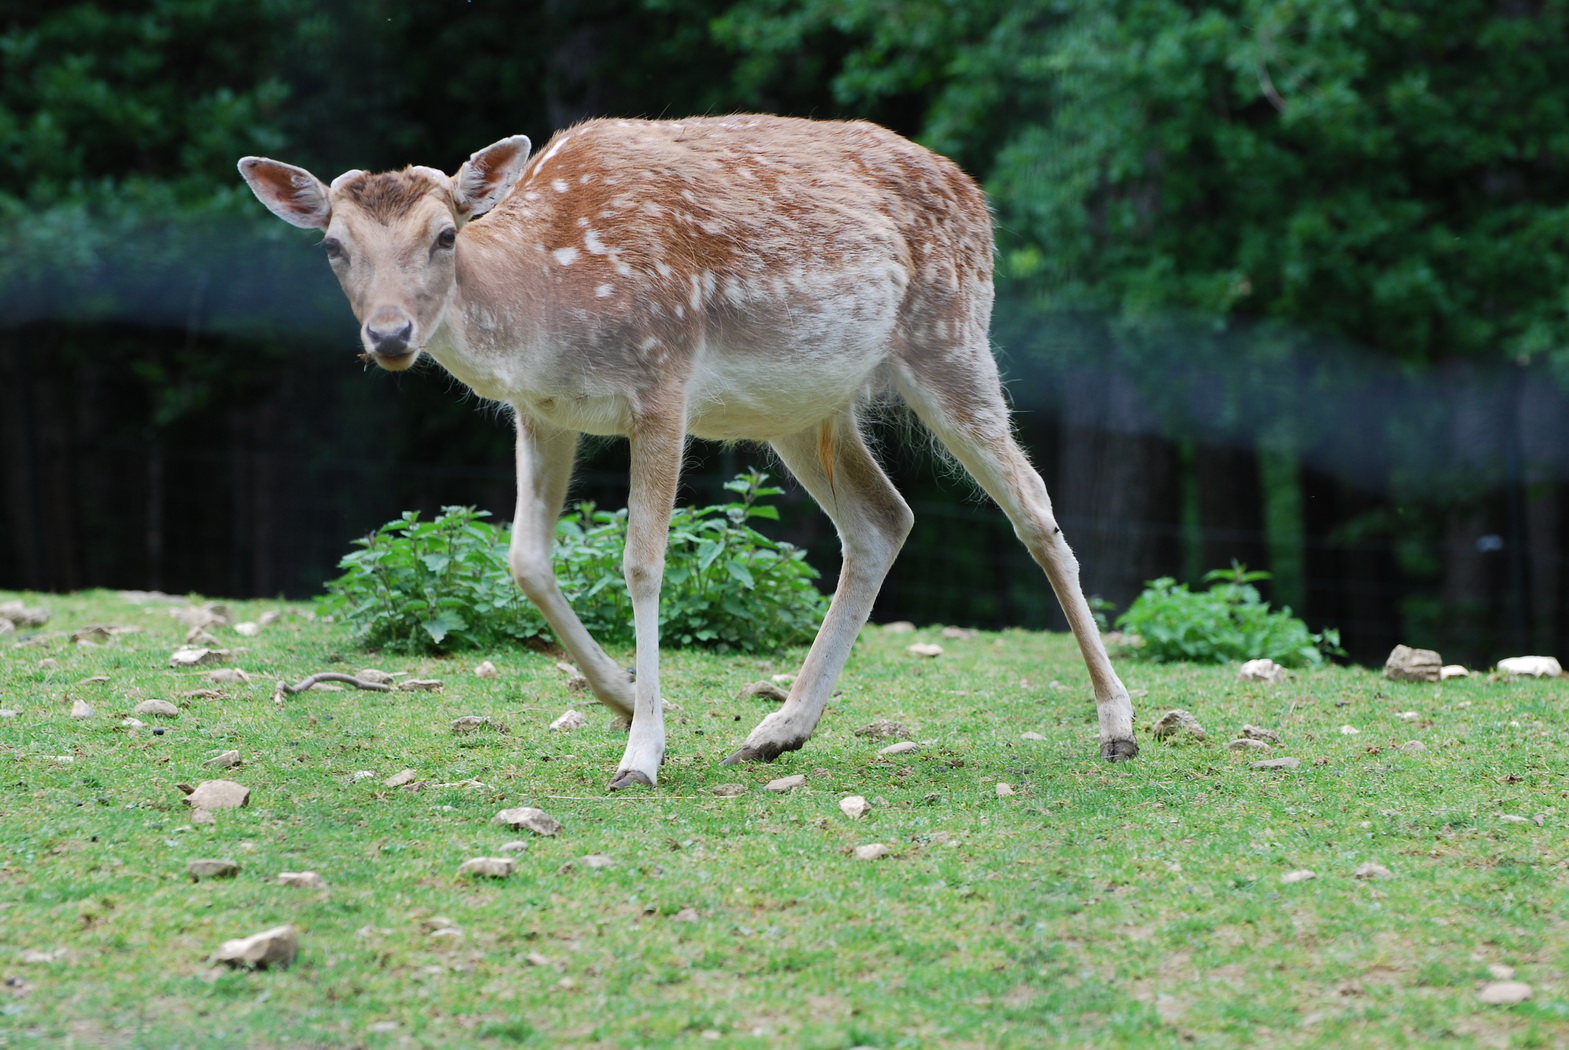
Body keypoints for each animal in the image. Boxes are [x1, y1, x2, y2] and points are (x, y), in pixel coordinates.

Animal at [238, 114, 1135, 784]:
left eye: (445, 236)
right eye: (333, 246)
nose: (389, 336)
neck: (544, 308)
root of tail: (974, 193)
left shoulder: (661, 383)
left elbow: (641, 562)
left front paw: (641, 752)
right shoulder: (545, 412)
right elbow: (525, 558)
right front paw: (621, 698)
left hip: (949, 336)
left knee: (1032, 507)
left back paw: (1116, 723)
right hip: (805, 410)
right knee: (883, 519)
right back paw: (778, 729)